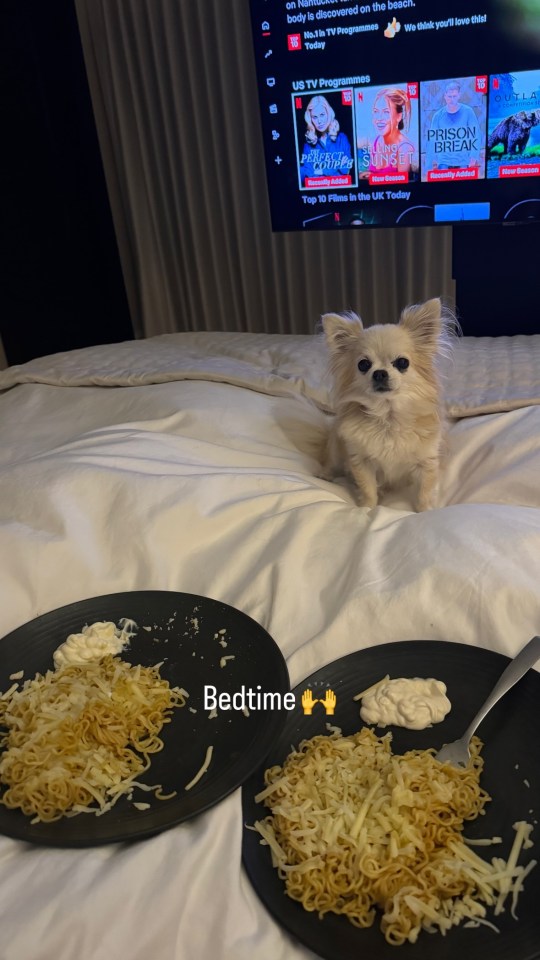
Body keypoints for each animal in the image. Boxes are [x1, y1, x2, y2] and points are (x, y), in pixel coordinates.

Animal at [320, 298, 452, 510]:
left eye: (402, 362)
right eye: (363, 364)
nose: (379, 373)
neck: (388, 416)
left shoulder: (427, 462)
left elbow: (424, 492)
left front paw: (424, 510)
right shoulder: (361, 460)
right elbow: (367, 488)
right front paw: (367, 508)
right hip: (335, 445)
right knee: (330, 461)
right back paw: (324, 475)